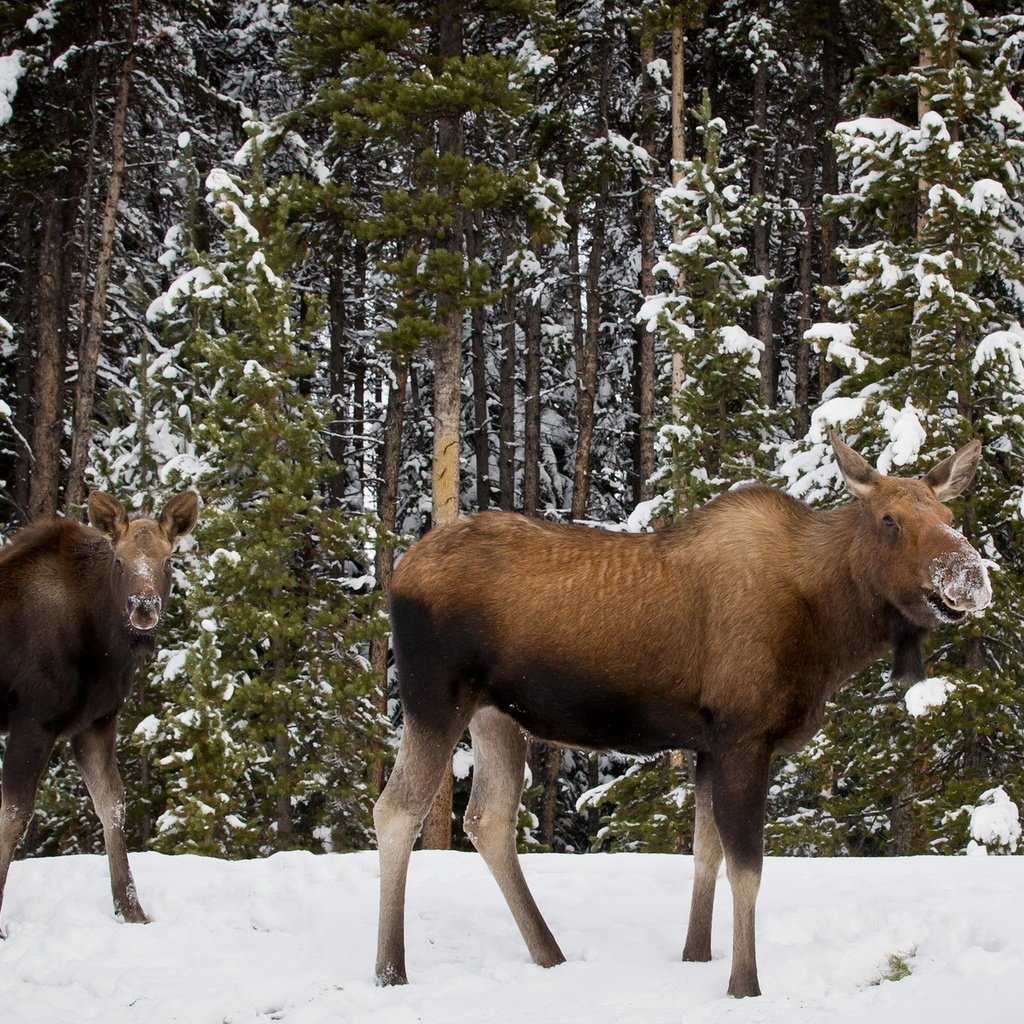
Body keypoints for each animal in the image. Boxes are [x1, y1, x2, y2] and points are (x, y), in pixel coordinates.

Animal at [0, 491, 198, 937]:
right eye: (119, 561)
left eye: (168, 561)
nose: (144, 607)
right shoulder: (33, 722)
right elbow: (15, 816)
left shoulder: (95, 723)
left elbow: (113, 804)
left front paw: (131, 910)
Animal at [374, 436, 991, 995]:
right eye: (889, 519)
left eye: (949, 515)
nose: (971, 576)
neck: (831, 631)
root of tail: (397, 575)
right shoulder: (745, 735)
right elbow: (747, 867)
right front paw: (744, 985)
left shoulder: (707, 745)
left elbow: (705, 852)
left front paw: (696, 956)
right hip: (435, 696)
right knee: (397, 809)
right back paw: (390, 971)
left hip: (496, 714)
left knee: (488, 819)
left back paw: (548, 954)